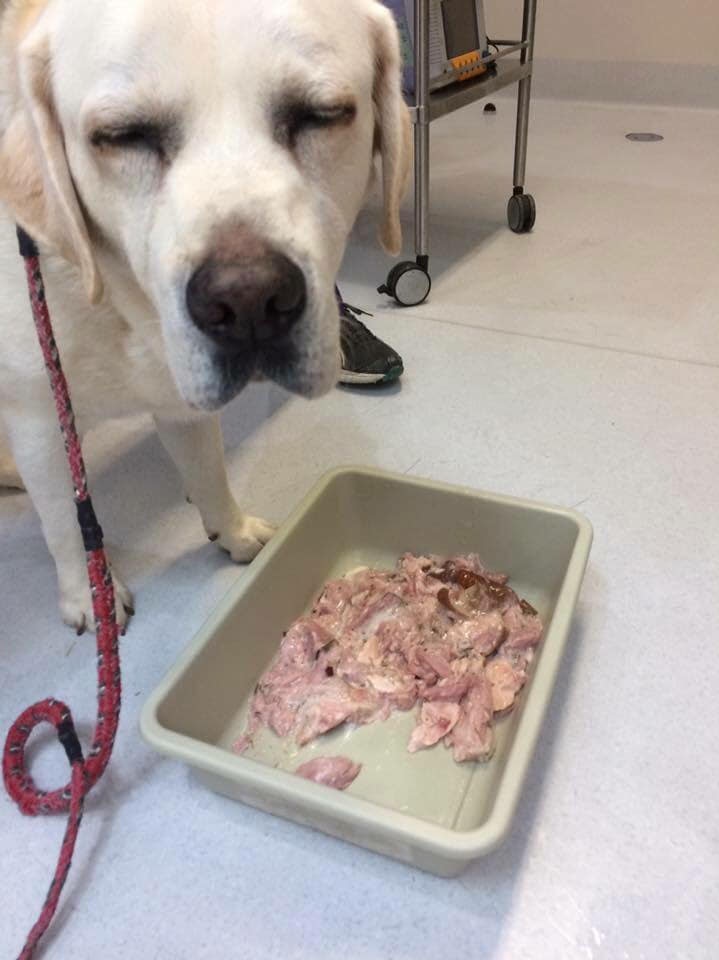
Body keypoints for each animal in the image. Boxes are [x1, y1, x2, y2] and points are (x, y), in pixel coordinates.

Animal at [0, 3, 410, 632]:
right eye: (121, 136)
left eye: (321, 114)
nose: (248, 302)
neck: (119, 305)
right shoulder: (40, 417)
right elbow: (67, 524)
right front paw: (88, 595)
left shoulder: (177, 396)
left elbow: (209, 469)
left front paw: (234, 532)